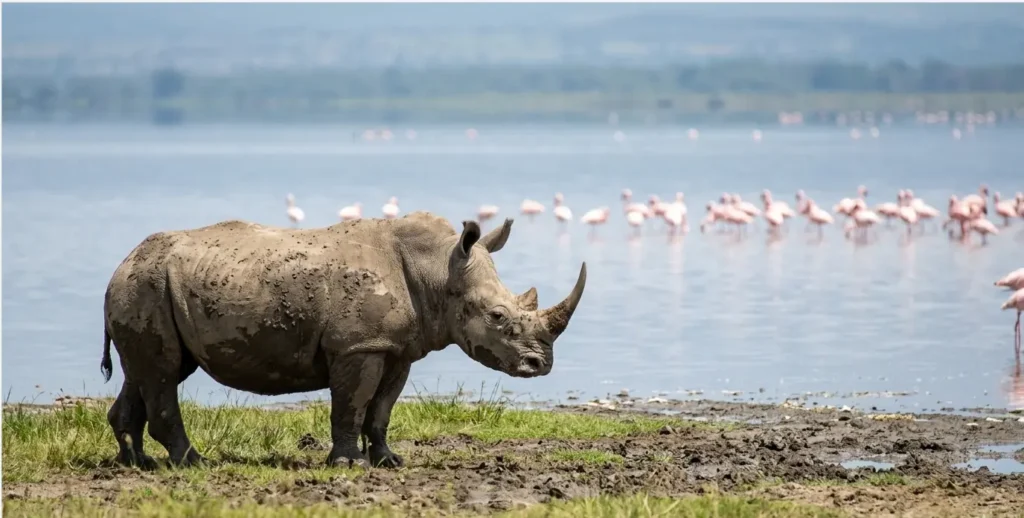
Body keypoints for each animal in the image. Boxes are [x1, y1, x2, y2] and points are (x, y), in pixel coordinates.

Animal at [99, 212, 586, 469]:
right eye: (498, 317)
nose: (540, 365)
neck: (437, 270)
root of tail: (120, 265)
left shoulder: (395, 348)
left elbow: (382, 409)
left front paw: (389, 461)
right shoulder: (359, 346)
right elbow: (352, 404)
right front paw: (349, 464)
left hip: (151, 286)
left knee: (152, 370)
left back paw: (136, 464)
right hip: (145, 285)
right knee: (162, 372)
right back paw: (192, 463)